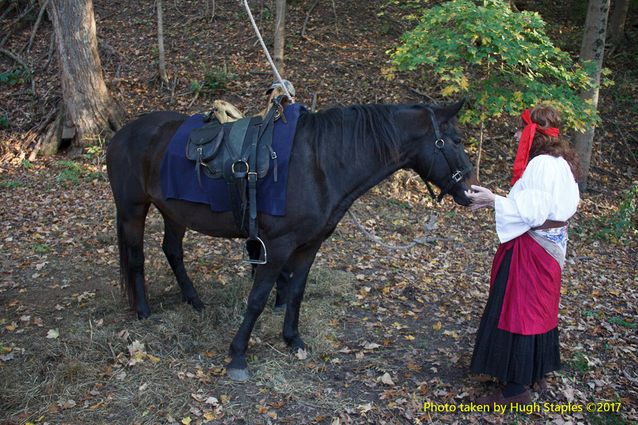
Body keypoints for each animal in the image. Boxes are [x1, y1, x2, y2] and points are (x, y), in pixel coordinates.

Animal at [106, 100, 476, 380]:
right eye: (456, 140)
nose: (471, 190)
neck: (320, 164)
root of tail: (121, 133)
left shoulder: (309, 246)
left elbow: (296, 292)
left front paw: (293, 340)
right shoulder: (278, 247)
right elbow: (257, 299)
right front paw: (238, 356)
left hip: (173, 211)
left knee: (172, 251)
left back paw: (194, 301)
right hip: (132, 209)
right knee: (137, 258)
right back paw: (143, 311)